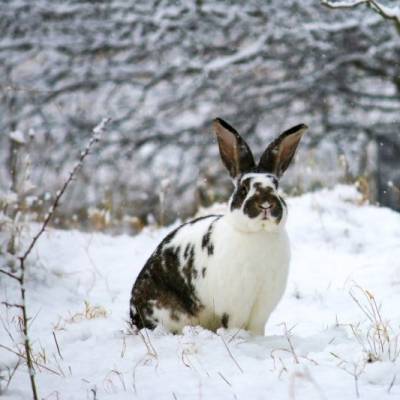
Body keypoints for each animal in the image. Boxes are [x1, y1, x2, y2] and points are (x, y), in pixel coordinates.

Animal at [130, 118, 308, 334]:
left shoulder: (262, 306)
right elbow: (234, 325)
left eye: (276, 187)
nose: (266, 204)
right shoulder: (233, 306)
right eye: (243, 189)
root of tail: (133, 315)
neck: (258, 233)